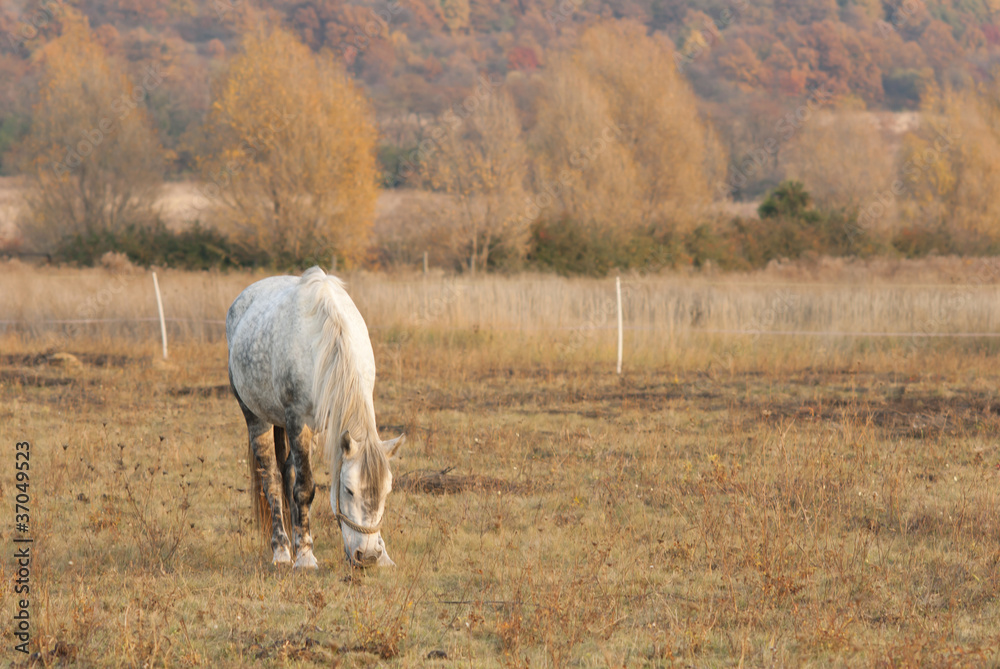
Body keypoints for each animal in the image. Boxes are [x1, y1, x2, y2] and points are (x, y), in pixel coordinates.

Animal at [226, 266, 404, 569]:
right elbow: (305, 489)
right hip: (256, 417)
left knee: (287, 473)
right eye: (349, 490)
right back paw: (283, 551)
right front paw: (306, 557)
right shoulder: (298, 420)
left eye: (386, 491)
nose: (367, 555)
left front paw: (385, 556)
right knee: (272, 480)